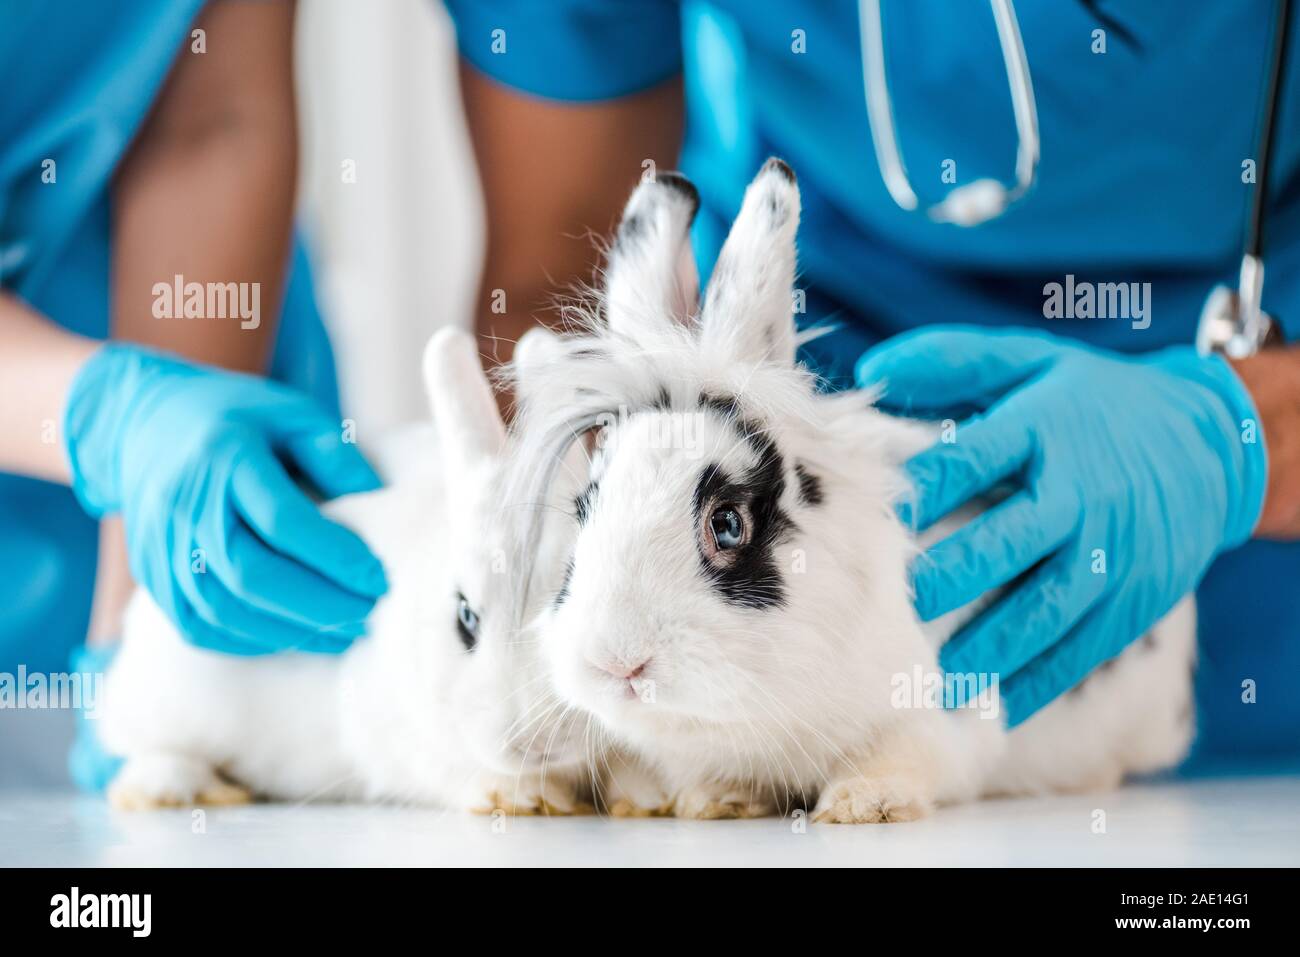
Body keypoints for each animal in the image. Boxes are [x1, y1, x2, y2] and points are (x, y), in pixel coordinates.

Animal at [97, 328, 590, 816]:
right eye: (465, 620)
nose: (538, 743)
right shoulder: (394, 739)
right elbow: (449, 773)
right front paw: (522, 795)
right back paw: (180, 788)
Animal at [506, 158, 1196, 821]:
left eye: (727, 524)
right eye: (584, 510)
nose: (616, 661)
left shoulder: (942, 714)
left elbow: (901, 756)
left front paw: (863, 806)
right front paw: (716, 801)